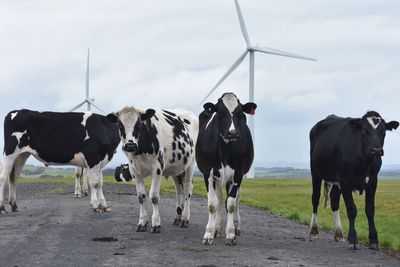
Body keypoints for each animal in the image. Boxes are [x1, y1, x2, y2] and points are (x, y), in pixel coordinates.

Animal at [196, 92, 256, 247]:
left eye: (240, 114)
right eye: (221, 113)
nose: (233, 133)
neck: (225, 150)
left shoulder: (238, 175)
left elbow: (231, 204)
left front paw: (230, 234)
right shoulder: (208, 173)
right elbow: (212, 204)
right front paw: (209, 233)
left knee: (236, 199)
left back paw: (236, 226)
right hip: (218, 177)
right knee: (219, 198)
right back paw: (217, 228)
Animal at [310, 111, 396, 251]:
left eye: (383, 132)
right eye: (364, 131)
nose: (377, 150)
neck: (364, 162)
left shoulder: (373, 181)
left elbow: (370, 209)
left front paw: (374, 240)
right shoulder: (345, 181)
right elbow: (352, 210)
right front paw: (353, 240)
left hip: (336, 180)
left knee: (334, 200)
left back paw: (338, 233)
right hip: (315, 171)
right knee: (315, 198)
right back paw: (313, 231)